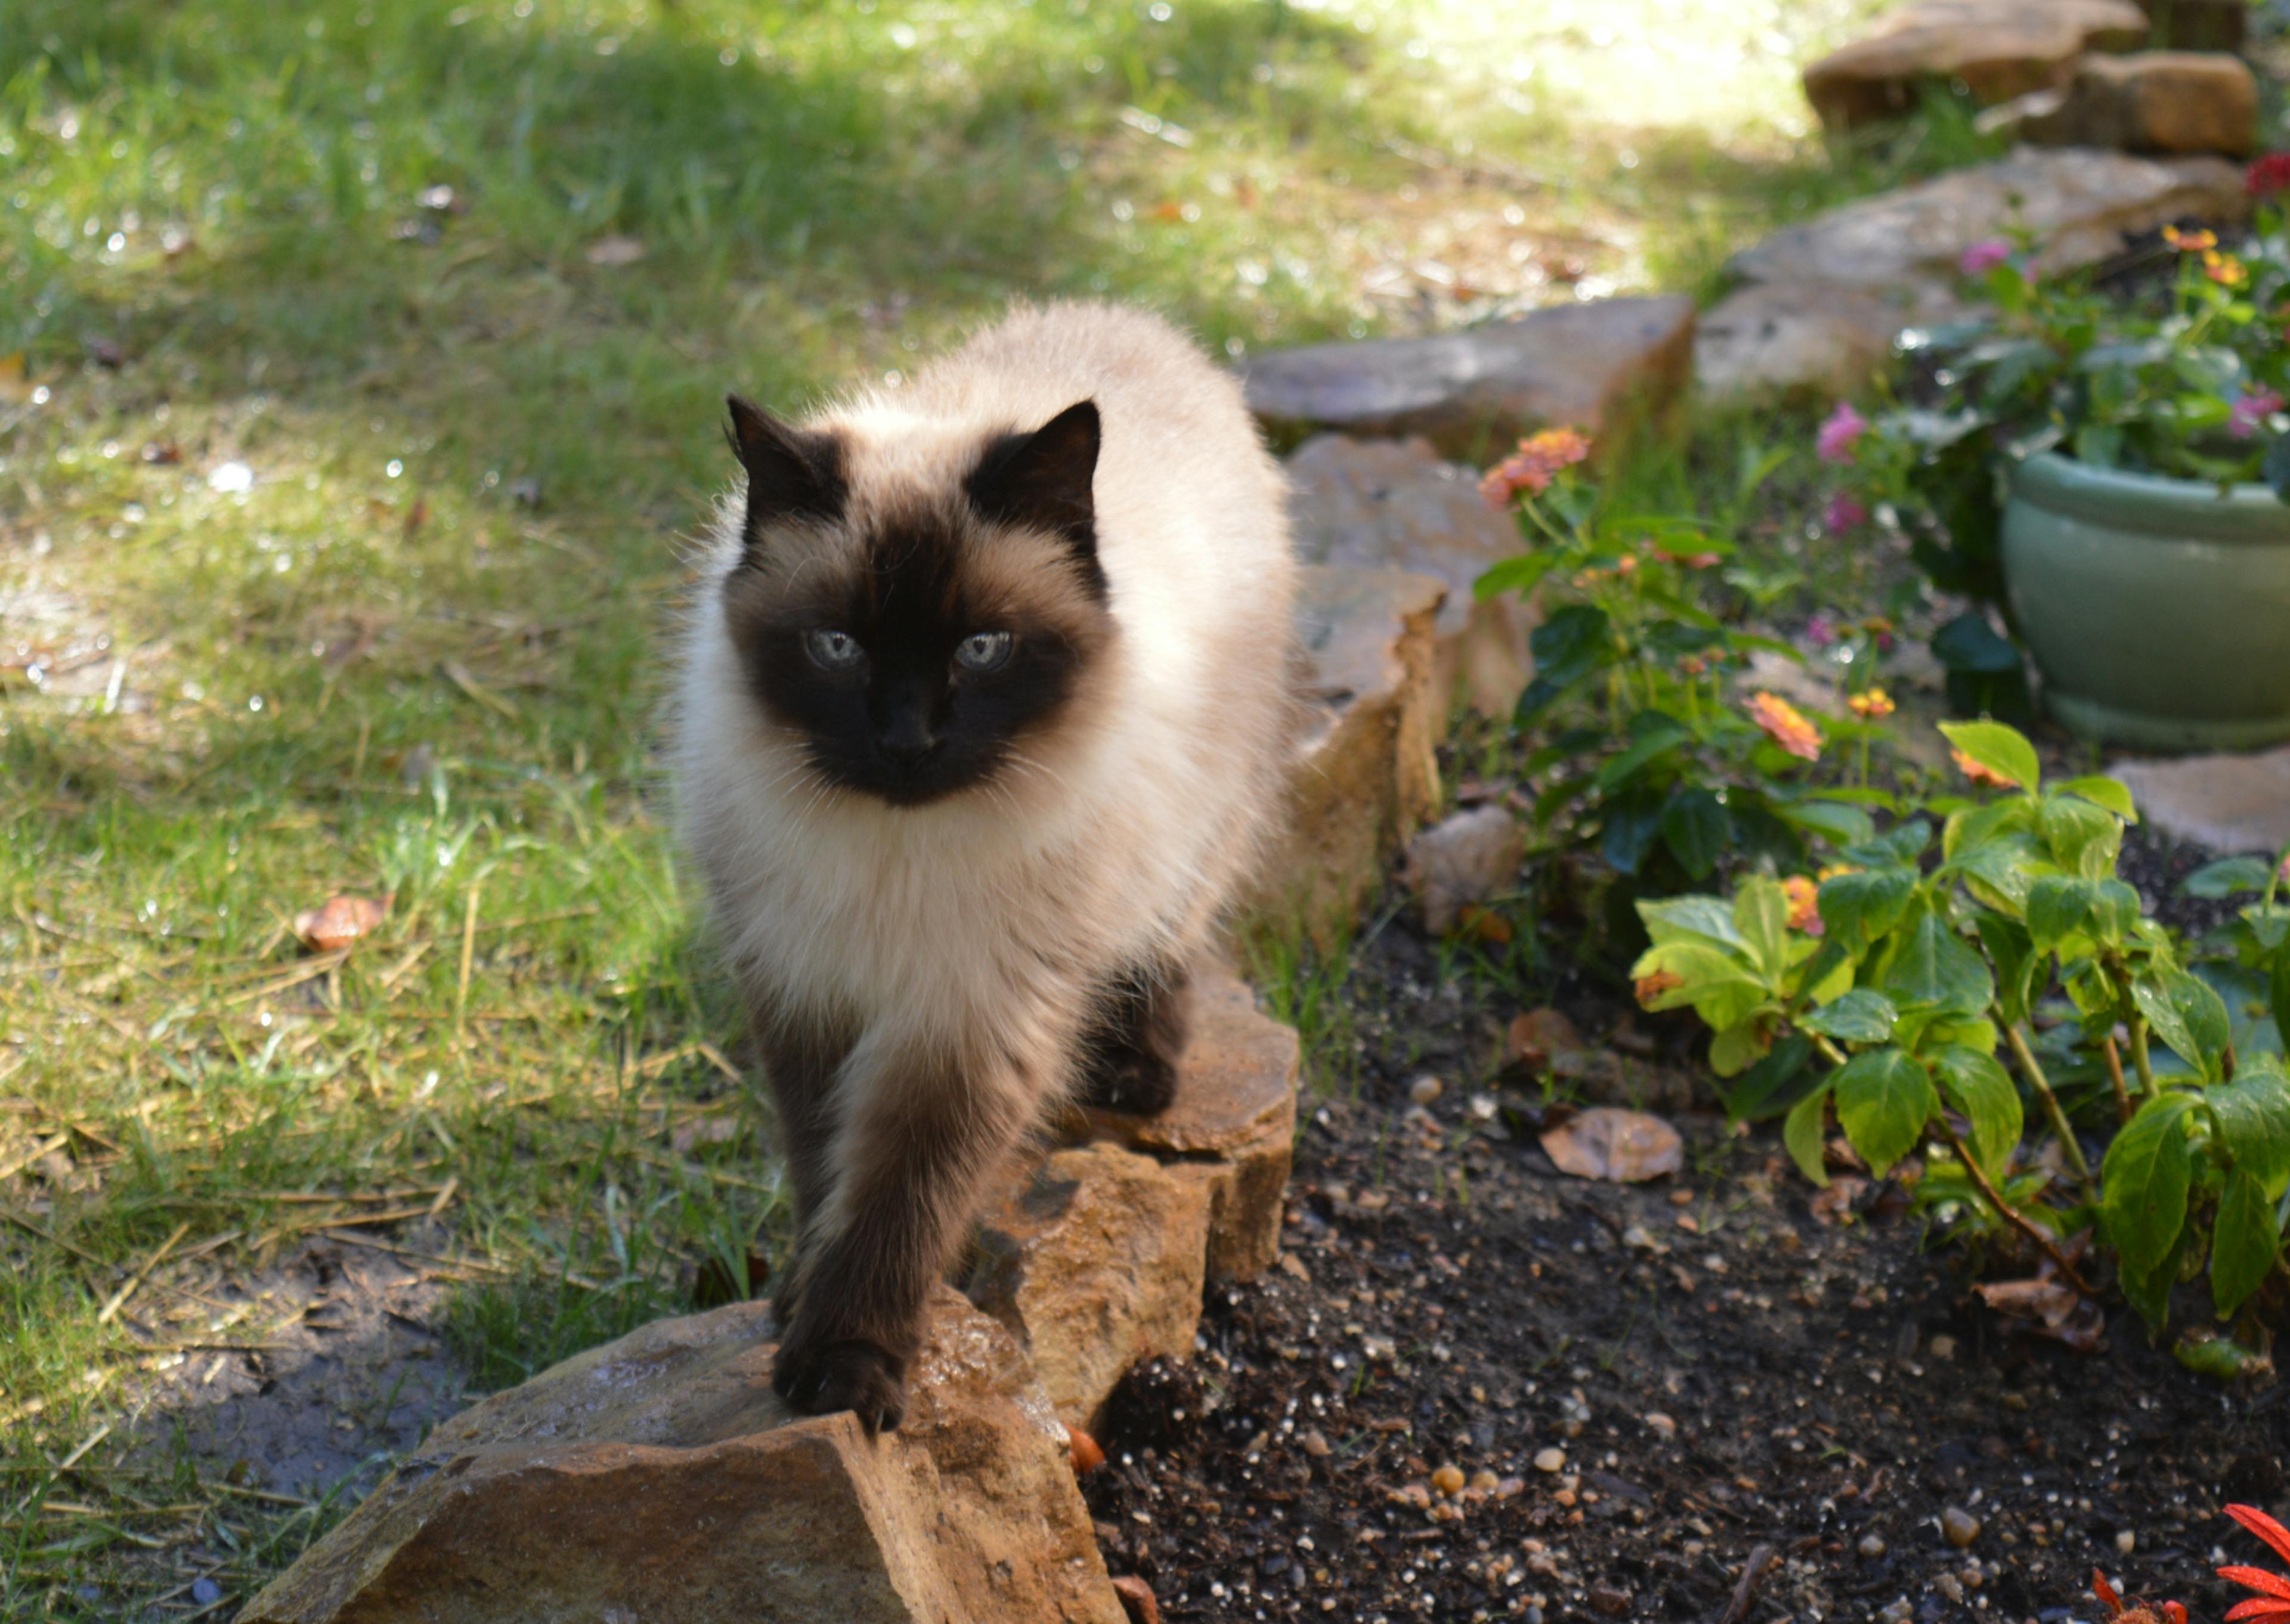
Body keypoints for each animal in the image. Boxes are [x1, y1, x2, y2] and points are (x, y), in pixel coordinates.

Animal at [669, 304, 1301, 1429]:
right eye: (837, 646)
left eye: (982, 649)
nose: (907, 742)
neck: (897, 850)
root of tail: (1137, 321)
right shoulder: (808, 988)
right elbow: (824, 1166)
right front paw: (798, 1298)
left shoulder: (968, 1018)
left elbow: (898, 1202)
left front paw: (845, 1368)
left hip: (1195, 830)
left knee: (1170, 940)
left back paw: (1137, 1075)